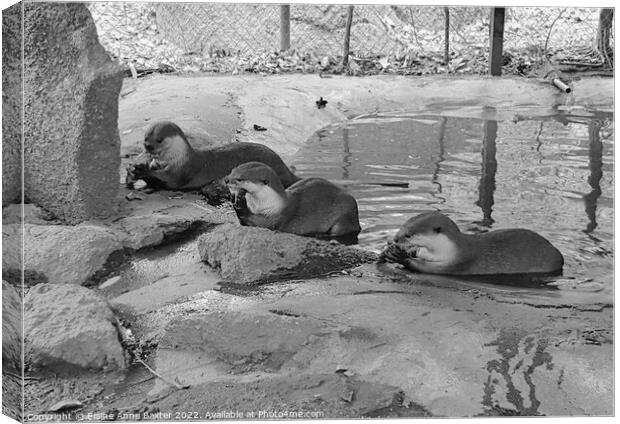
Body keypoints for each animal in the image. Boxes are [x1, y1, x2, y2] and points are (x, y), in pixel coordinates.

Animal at [124, 121, 300, 190]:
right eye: (145, 137)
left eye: (159, 140)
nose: (148, 146)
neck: (176, 158)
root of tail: (285, 168)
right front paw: (133, 171)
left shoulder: (181, 173)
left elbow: (165, 180)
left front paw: (140, 170)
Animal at [224, 161, 360, 242]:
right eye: (231, 171)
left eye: (240, 178)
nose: (226, 179)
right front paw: (234, 197)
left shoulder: (278, 217)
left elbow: (264, 224)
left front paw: (239, 202)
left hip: (345, 211)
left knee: (340, 230)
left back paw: (321, 235)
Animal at [380, 211, 564, 274]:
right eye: (402, 226)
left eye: (408, 235)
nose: (395, 238)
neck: (448, 250)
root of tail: (559, 255)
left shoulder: (457, 264)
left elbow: (424, 268)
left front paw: (400, 257)